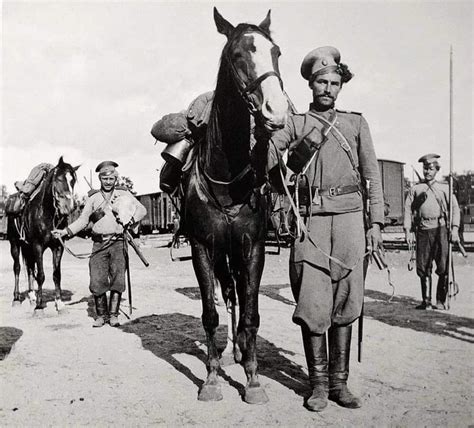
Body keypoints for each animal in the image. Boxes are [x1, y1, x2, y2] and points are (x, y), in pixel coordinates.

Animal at [8, 156, 79, 310]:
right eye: (59, 179)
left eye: (73, 181)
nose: (69, 207)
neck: (46, 213)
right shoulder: (38, 246)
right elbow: (40, 275)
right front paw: (39, 307)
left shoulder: (58, 247)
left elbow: (56, 274)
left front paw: (59, 303)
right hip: (15, 244)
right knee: (17, 268)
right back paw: (16, 298)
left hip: (27, 247)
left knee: (29, 268)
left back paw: (32, 296)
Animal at [184, 9, 288, 404]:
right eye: (238, 54)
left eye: (276, 52)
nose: (277, 109)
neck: (226, 179)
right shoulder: (203, 247)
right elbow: (210, 314)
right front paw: (212, 379)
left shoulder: (253, 246)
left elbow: (252, 313)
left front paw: (254, 380)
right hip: (221, 253)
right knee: (228, 295)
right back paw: (230, 351)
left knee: (240, 297)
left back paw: (243, 352)